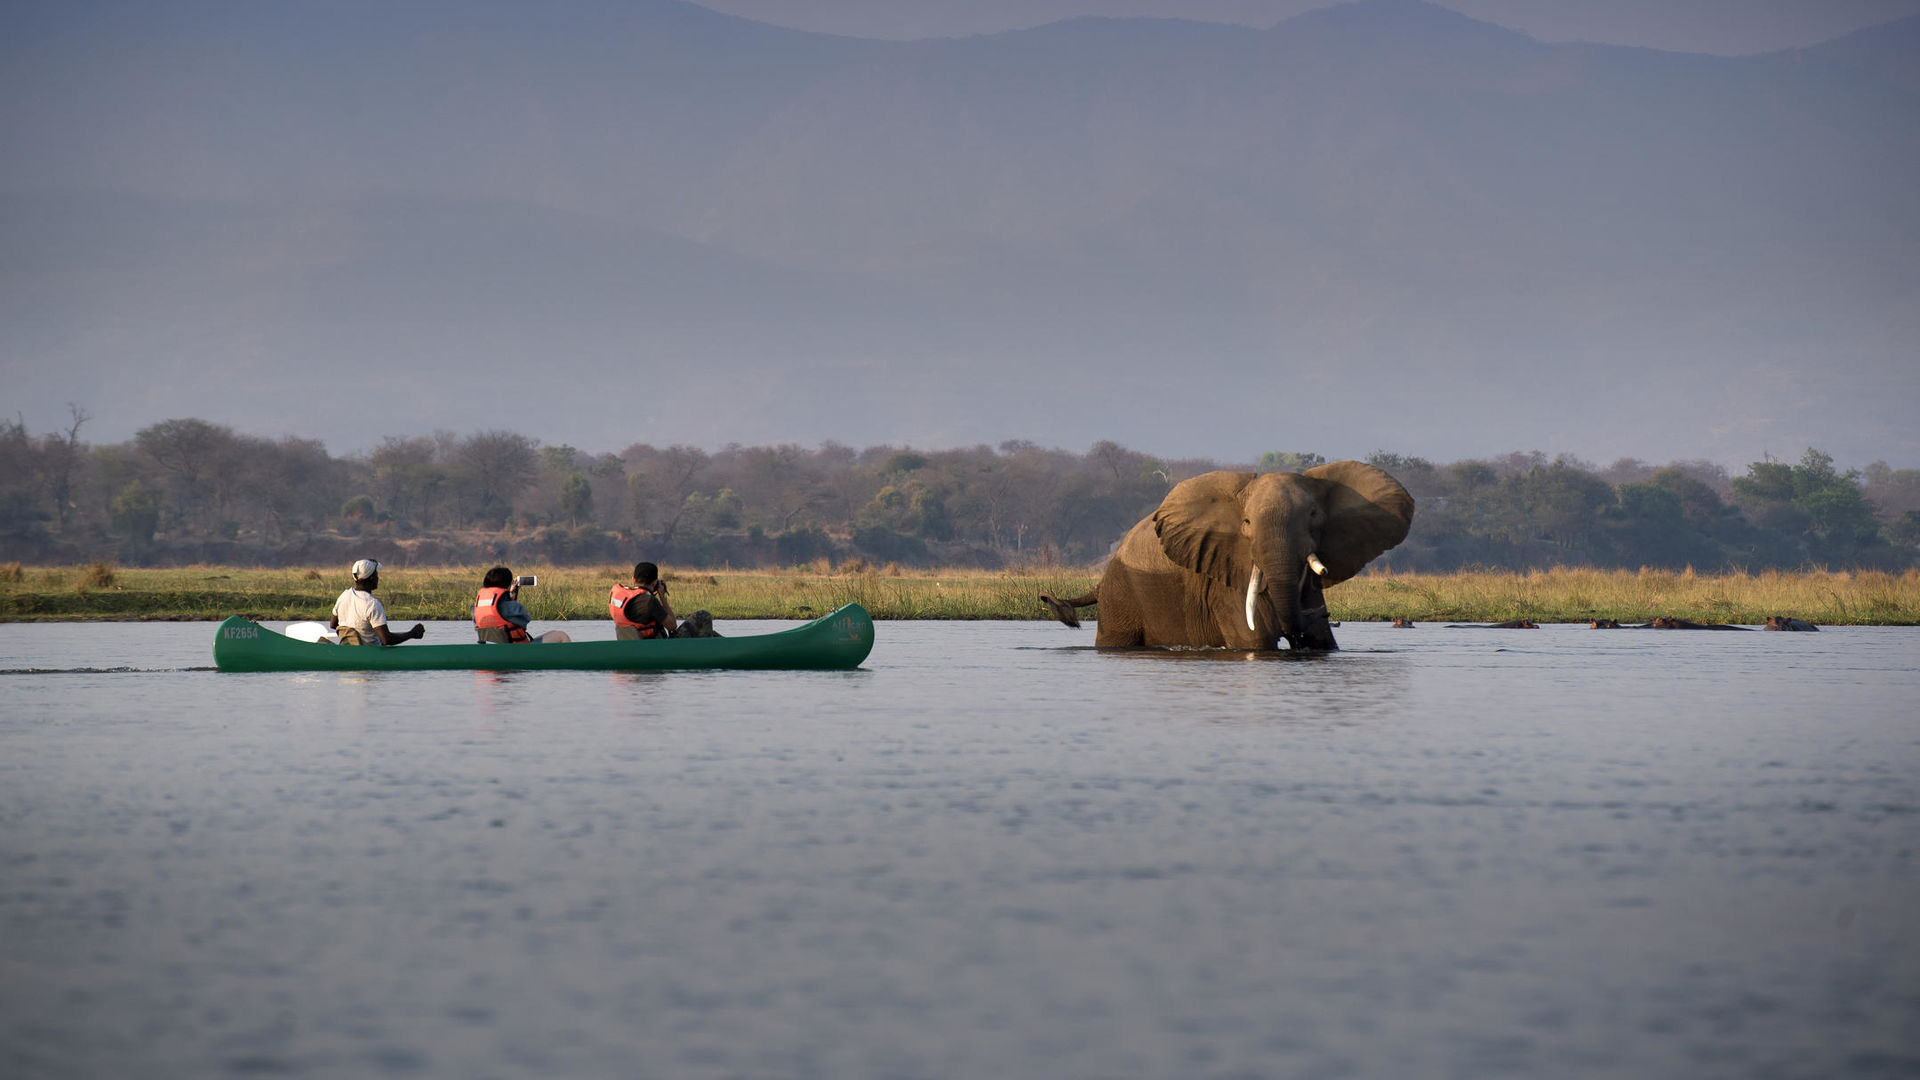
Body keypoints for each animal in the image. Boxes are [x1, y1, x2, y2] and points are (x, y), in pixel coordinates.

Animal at [1044, 455, 1420, 641]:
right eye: (1247, 523)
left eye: (1314, 516)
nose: (1322, 614)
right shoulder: (1223, 578)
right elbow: (1255, 640)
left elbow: (1324, 646)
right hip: (1121, 595)